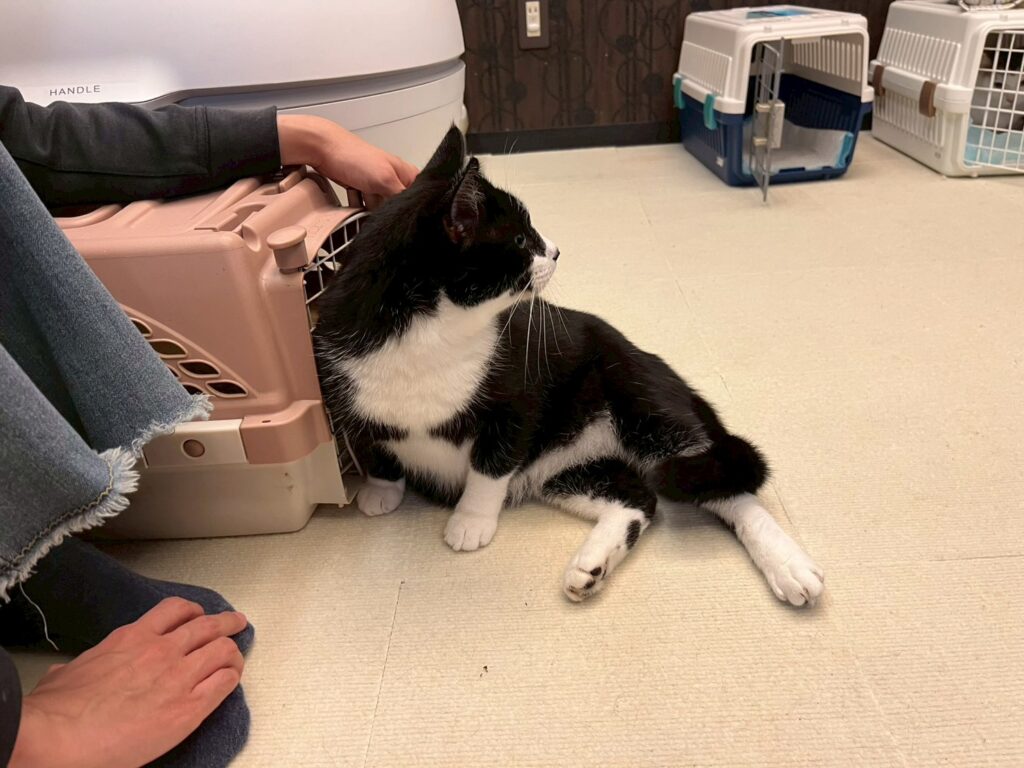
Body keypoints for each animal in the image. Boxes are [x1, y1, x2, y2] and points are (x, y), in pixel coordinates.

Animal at [313, 126, 823, 605]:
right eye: (521, 239)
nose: (557, 251)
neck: (432, 332)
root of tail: (662, 369)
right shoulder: (341, 384)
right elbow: (373, 442)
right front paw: (381, 489)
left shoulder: (518, 397)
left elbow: (490, 464)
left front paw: (470, 522)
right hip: (565, 467)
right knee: (639, 497)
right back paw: (591, 566)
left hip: (641, 401)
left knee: (718, 481)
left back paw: (788, 566)